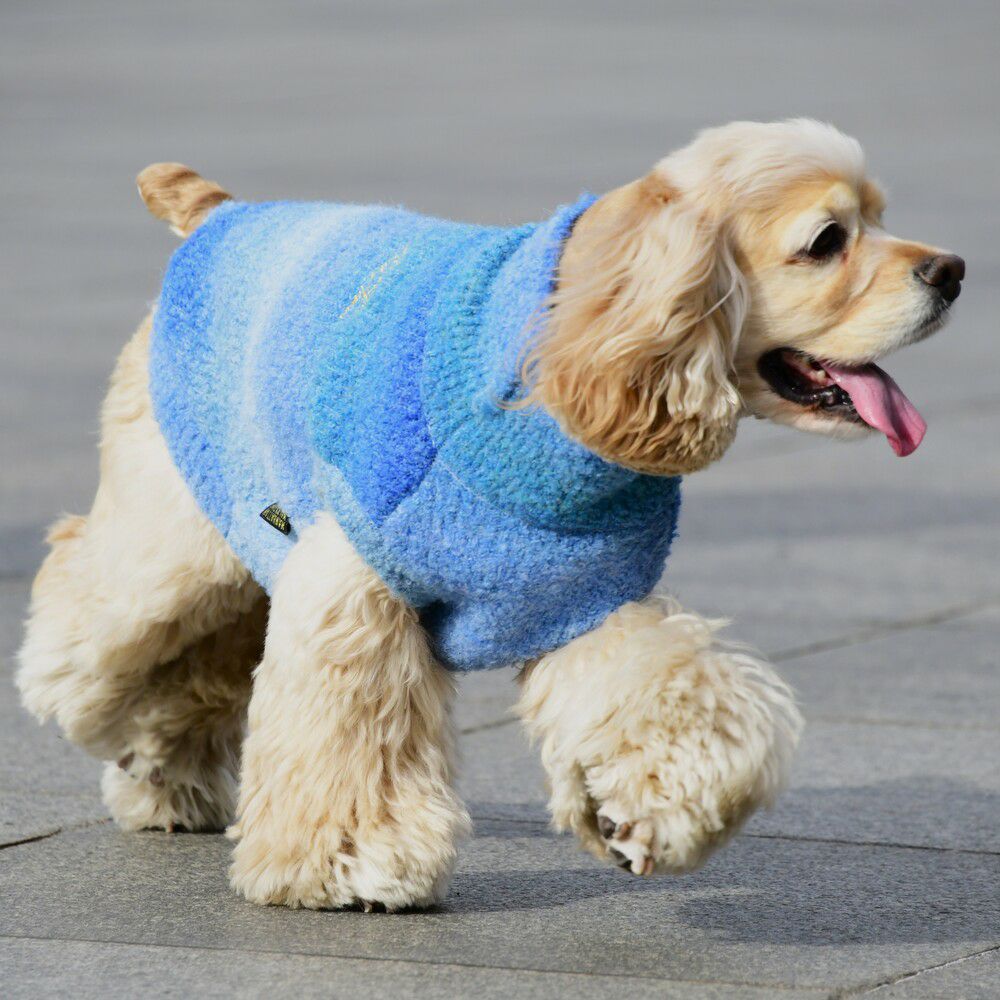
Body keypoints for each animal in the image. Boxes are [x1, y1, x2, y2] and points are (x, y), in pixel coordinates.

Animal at [17, 119, 963, 911]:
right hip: (174, 535)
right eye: (827, 241)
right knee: (83, 591)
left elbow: (669, 696)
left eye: (881, 218)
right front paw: (356, 861)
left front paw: (641, 816)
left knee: (193, 668)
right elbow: (351, 736)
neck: (570, 351)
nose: (953, 270)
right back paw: (88, 709)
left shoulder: (576, 595)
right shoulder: (354, 585)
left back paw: (167, 781)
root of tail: (220, 214)